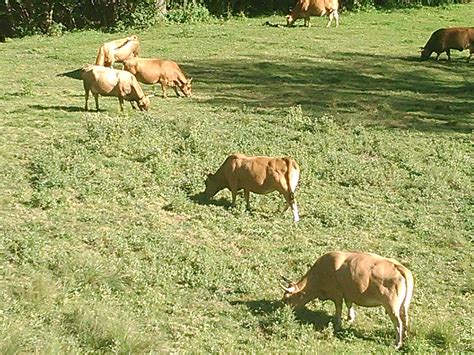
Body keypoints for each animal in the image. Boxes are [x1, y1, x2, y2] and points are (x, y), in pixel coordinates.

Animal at [282, 252, 414, 350]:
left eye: (287, 298)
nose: (284, 311)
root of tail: (398, 266)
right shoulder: (348, 293)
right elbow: (349, 304)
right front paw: (350, 318)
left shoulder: (337, 294)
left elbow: (339, 308)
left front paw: (338, 324)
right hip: (404, 305)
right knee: (405, 319)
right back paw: (405, 338)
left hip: (391, 306)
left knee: (398, 323)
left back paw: (397, 344)